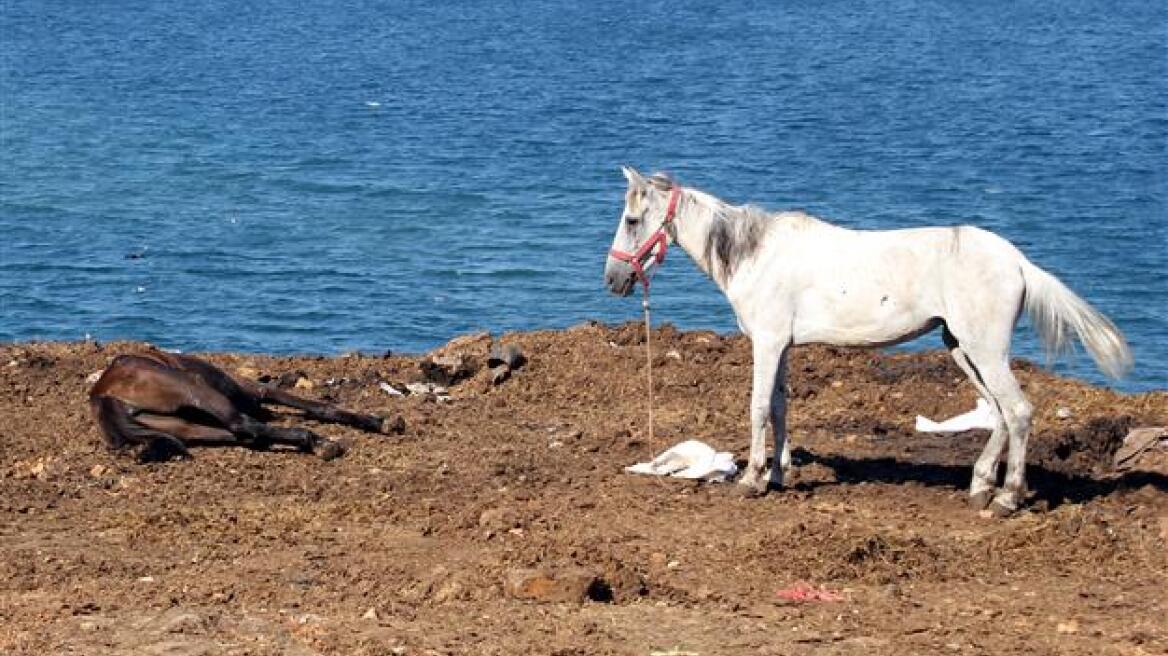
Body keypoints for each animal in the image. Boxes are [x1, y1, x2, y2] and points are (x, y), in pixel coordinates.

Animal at [89, 347, 392, 459]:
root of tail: (103, 394)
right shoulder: (254, 390)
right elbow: (310, 404)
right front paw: (379, 421)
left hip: (181, 426)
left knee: (244, 434)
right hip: (197, 391)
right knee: (244, 425)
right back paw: (318, 441)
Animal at [607, 165, 1135, 513]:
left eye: (632, 220)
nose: (613, 279)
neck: (754, 254)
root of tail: (1019, 262)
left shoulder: (768, 341)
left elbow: (758, 407)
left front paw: (753, 480)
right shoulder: (783, 347)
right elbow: (780, 407)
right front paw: (779, 474)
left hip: (985, 349)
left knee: (1019, 412)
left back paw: (1006, 498)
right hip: (961, 348)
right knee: (999, 413)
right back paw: (981, 486)